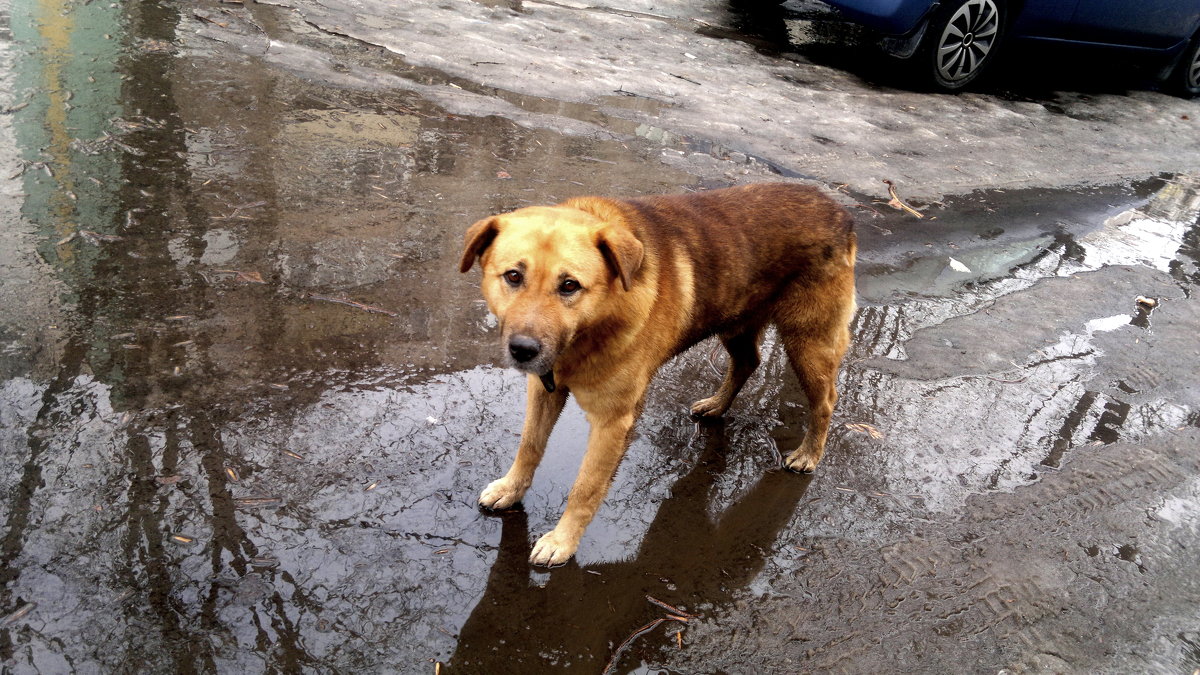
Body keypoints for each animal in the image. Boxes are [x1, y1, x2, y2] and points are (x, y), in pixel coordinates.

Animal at [453, 181, 859, 564]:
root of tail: (838, 210)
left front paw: (563, 541)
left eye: (570, 285)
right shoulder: (544, 390)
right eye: (513, 276)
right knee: (748, 362)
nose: (522, 350)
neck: (595, 326)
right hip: (735, 324)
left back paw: (809, 454)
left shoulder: (613, 422)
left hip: (808, 344)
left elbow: (585, 487)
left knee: (826, 401)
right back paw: (717, 405)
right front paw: (511, 489)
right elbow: (529, 446)